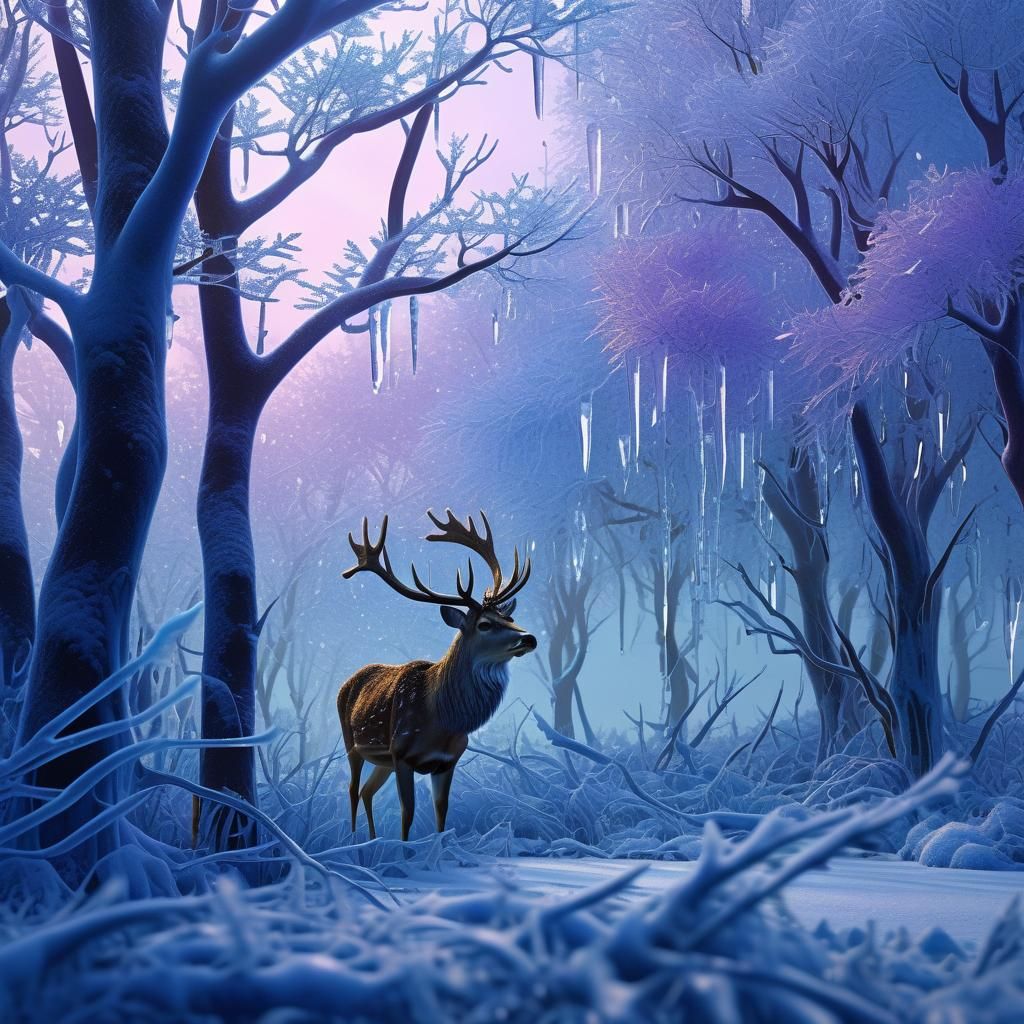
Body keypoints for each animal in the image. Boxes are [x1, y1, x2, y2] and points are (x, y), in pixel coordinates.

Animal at [337, 509, 536, 841]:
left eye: (510, 617)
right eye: (484, 624)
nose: (529, 638)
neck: (440, 720)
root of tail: (346, 682)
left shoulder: (447, 761)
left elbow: (441, 812)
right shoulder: (402, 754)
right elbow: (407, 814)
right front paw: (405, 850)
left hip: (382, 760)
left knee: (367, 791)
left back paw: (373, 840)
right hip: (351, 742)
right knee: (353, 789)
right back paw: (353, 840)